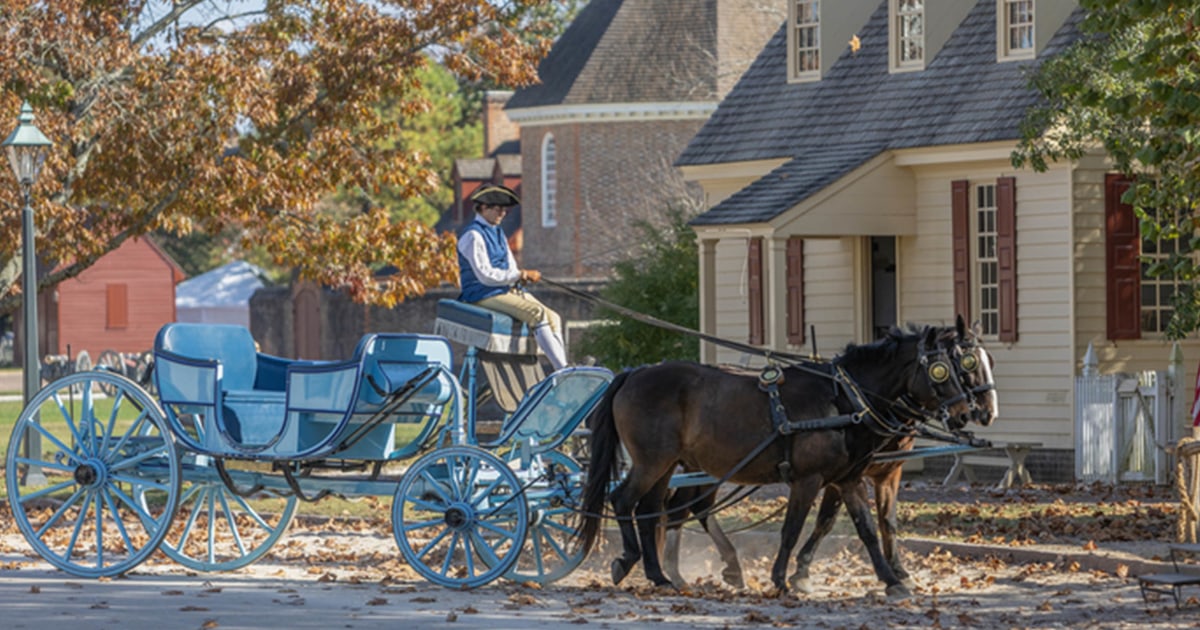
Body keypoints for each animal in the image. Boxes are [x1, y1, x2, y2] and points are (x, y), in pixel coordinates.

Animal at [578, 324, 974, 595]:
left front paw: (892, 580)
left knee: (653, 510)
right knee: (625, 500)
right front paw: (782, 578)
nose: (964, 413)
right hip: (653, 461)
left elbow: (866, 529)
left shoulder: (847, 478)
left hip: (669, 464)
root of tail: (636, 372)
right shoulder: (808, 478)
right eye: (940, 370)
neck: (841, 399)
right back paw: (631, 561)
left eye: (958, 367)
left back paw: (661, 575)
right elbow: (792, 528)